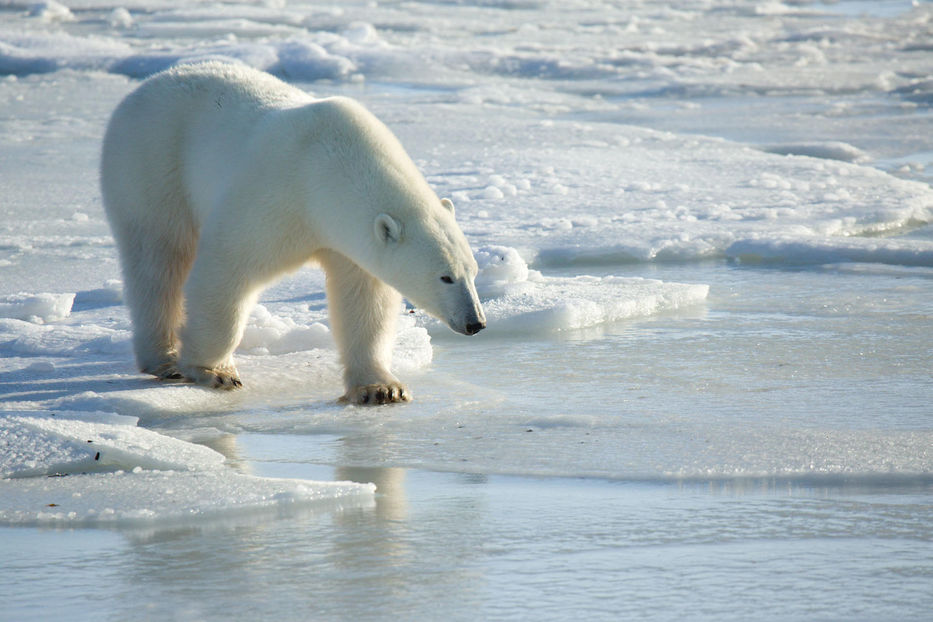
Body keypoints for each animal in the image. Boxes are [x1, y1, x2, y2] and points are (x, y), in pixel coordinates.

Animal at [99, 62, 484, 404]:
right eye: (445, 277)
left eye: (473, 272)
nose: (476, 323)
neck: (325, 170)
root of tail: (146, 86)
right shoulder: (276, 197)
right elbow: (227, 267)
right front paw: (214, 371)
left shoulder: (346, 240)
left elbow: (364, 300)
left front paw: (381, 388)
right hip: (151, 164)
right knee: (159, 258)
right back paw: (165, 359)